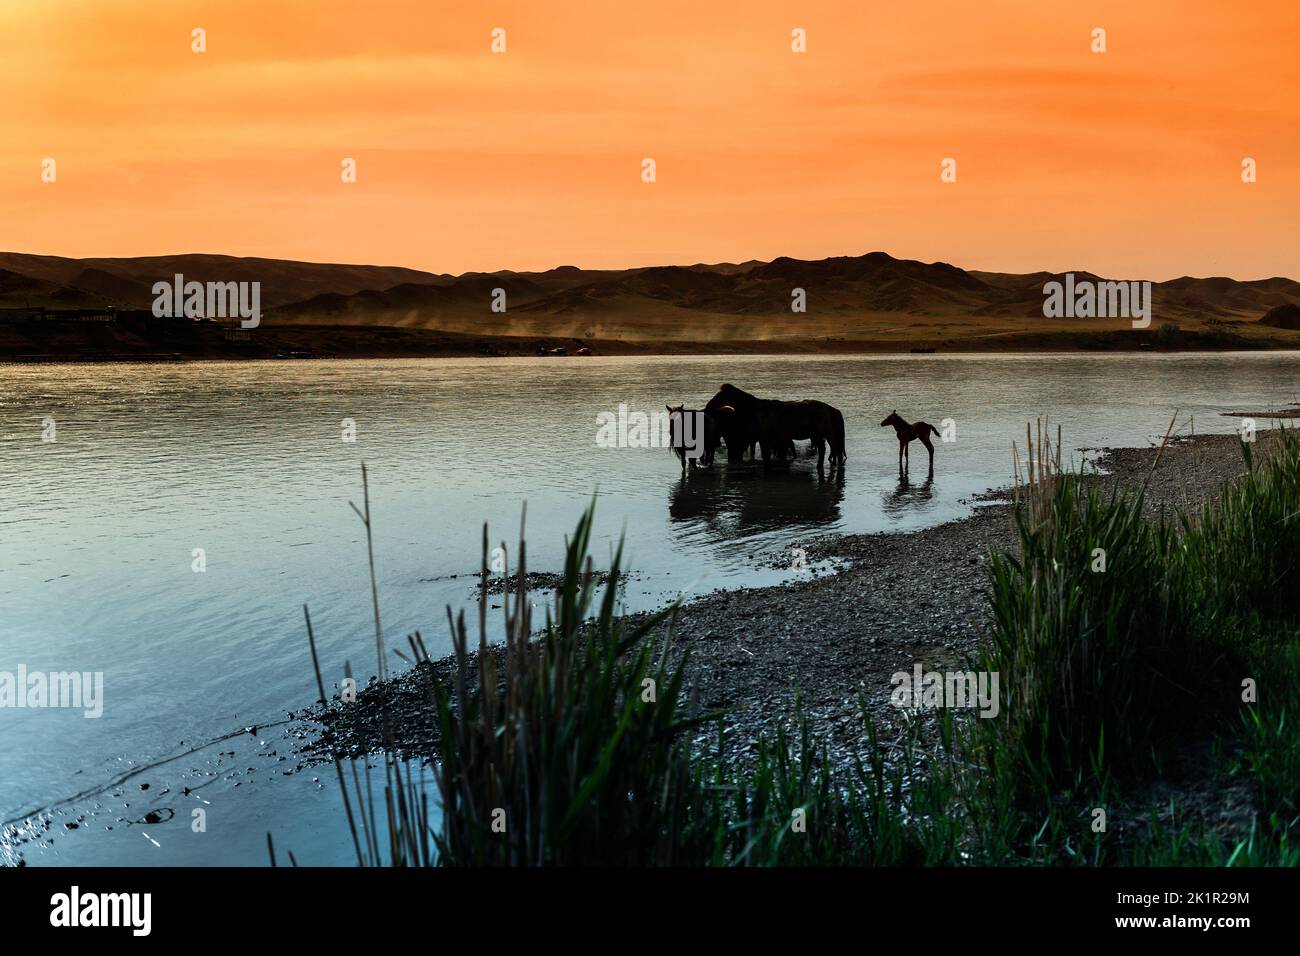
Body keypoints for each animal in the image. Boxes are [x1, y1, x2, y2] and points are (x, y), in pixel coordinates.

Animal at [704, 384, 847, 474]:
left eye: (720, 395)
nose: (707, 406)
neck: (754, 410)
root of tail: (831, 409)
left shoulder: (764, 440)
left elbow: (766, 458)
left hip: (819, 436)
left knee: (823, 450)